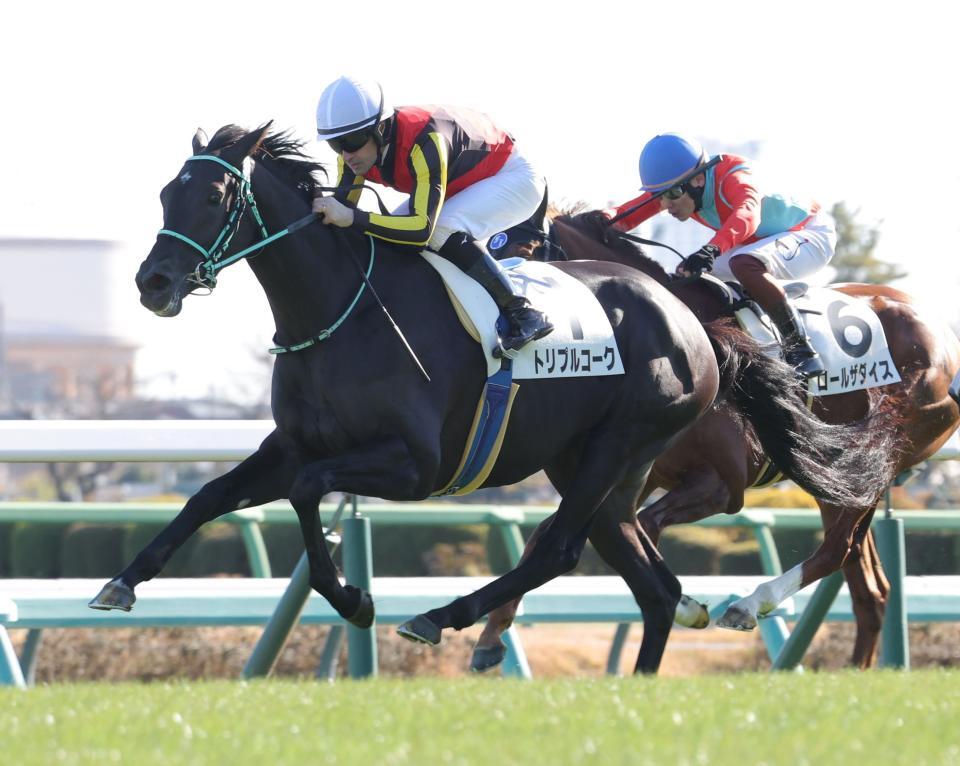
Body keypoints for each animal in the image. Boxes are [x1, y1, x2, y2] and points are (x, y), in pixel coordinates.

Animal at [90, 123, 897, 675]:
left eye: (214, 195)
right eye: (166, 193)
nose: (153, 283)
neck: (340, 310)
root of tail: (695, 323)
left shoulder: (415, 465)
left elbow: (312, 495)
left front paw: (355, 598)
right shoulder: (291, 446)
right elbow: (209, 496)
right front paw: (119, 583)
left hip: (618, 447)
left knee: (565, 549)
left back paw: (441, 615)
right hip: (605, 470)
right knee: (655, 585)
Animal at [472, 209, 960, 671]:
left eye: (520, 254)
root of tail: (942, 336)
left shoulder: (720, 484)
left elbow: (642, 526)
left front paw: (684, 602)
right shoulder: (634, 470)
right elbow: (547, 532)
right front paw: (491, 635)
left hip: (882, 454)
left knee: (838, 548)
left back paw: (749, 604)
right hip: (843, 477)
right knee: (869, 587)